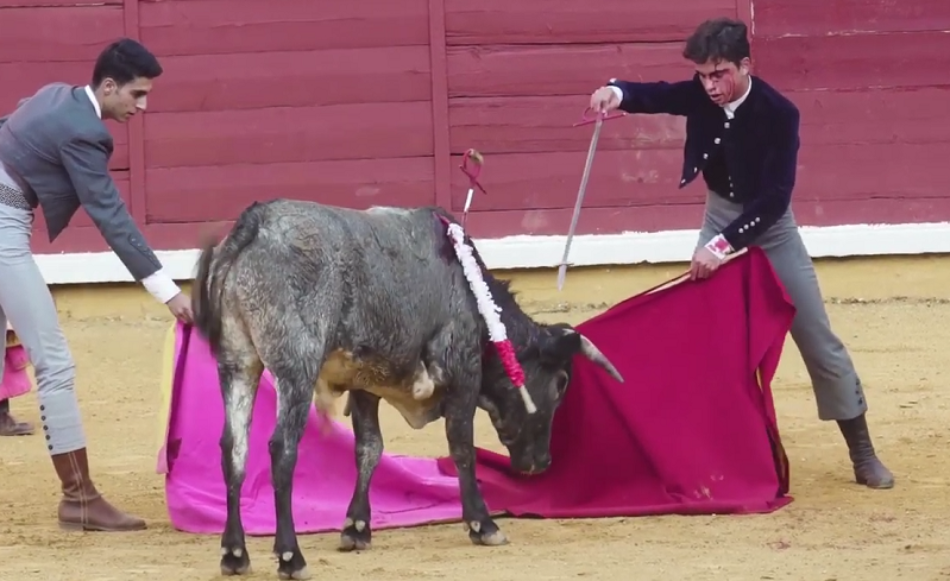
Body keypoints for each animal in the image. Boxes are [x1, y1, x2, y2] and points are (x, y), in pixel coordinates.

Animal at [192, 199, 624, 580]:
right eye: (561, 383)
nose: (542, 463)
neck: (470, 295)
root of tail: (254, 224)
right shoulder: (463, 374)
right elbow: (461, 447)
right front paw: (483, 525)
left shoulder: (363, 384)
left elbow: (369, 448)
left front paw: (356, 528)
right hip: (296, 367)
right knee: (282, 448)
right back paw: (290, 557)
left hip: (237, 363)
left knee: (234, 448)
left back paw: (234, 554)